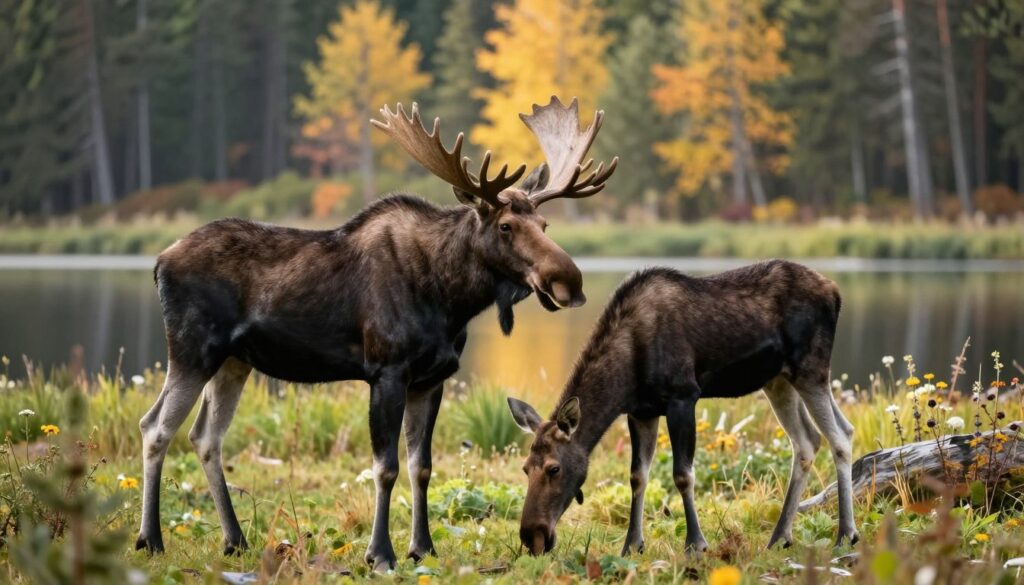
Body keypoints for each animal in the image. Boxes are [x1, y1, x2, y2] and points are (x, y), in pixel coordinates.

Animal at [135, 96, 617, 570]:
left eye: (545, 226)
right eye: (505, 226)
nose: (569, 281)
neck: (451, 299)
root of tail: (158, 262)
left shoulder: (432, 379)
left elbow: (422, 466)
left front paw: (422, 547)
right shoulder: (387, 371)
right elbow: (385, 467)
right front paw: (380, 553)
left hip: (234, 362)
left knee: (205, 437)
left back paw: (234, 540)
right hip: (192, 349)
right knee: (155, 427)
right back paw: (150, 539)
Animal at [507, 260, 858, 556]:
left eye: (554, 468)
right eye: (525, 468)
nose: (532, 537)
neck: (625, 375)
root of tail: (836, 292)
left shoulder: (683, 396)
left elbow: (683, 474)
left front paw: (696, 543)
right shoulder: (642, 411)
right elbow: (638, 476)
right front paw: (632, 545)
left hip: (810, 368)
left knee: (840, 436)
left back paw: (845, 534)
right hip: (778, 380)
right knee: (811, 440)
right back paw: (780, 536)